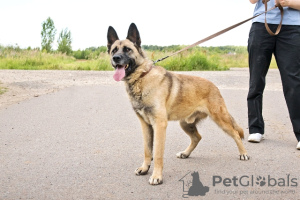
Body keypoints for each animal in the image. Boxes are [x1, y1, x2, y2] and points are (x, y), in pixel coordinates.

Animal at [106, 23, 250, 186]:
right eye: (114, 50)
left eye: (127, 49)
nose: (116, 58)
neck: (142, 77)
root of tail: (214, 86)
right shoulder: (145, 125)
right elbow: (147, 150)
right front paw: (144, 168)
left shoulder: (159, 125)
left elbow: (157, 153)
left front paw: (156, 176)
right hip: (186, 123)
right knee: (197, 137)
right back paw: (185, 153)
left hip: (220, 119)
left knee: (235, 134)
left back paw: (243, 153)